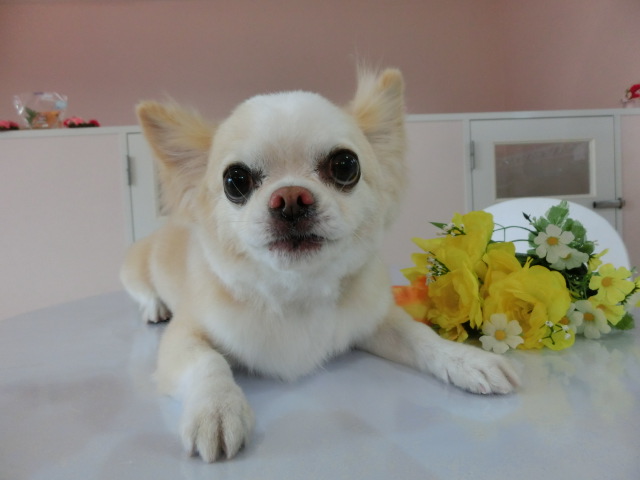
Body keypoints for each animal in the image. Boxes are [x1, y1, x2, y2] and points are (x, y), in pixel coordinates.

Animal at [120, 68, 520, 463]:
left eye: (345, 165)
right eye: (235, 181)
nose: (290, 198)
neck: (297, 292)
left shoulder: (376, 322)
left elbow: (420, 336)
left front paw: (467, 359)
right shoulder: (184, 335)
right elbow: (208, 363)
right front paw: (216, 409)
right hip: (133, 266)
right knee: (143, 293)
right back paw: (155, 308)